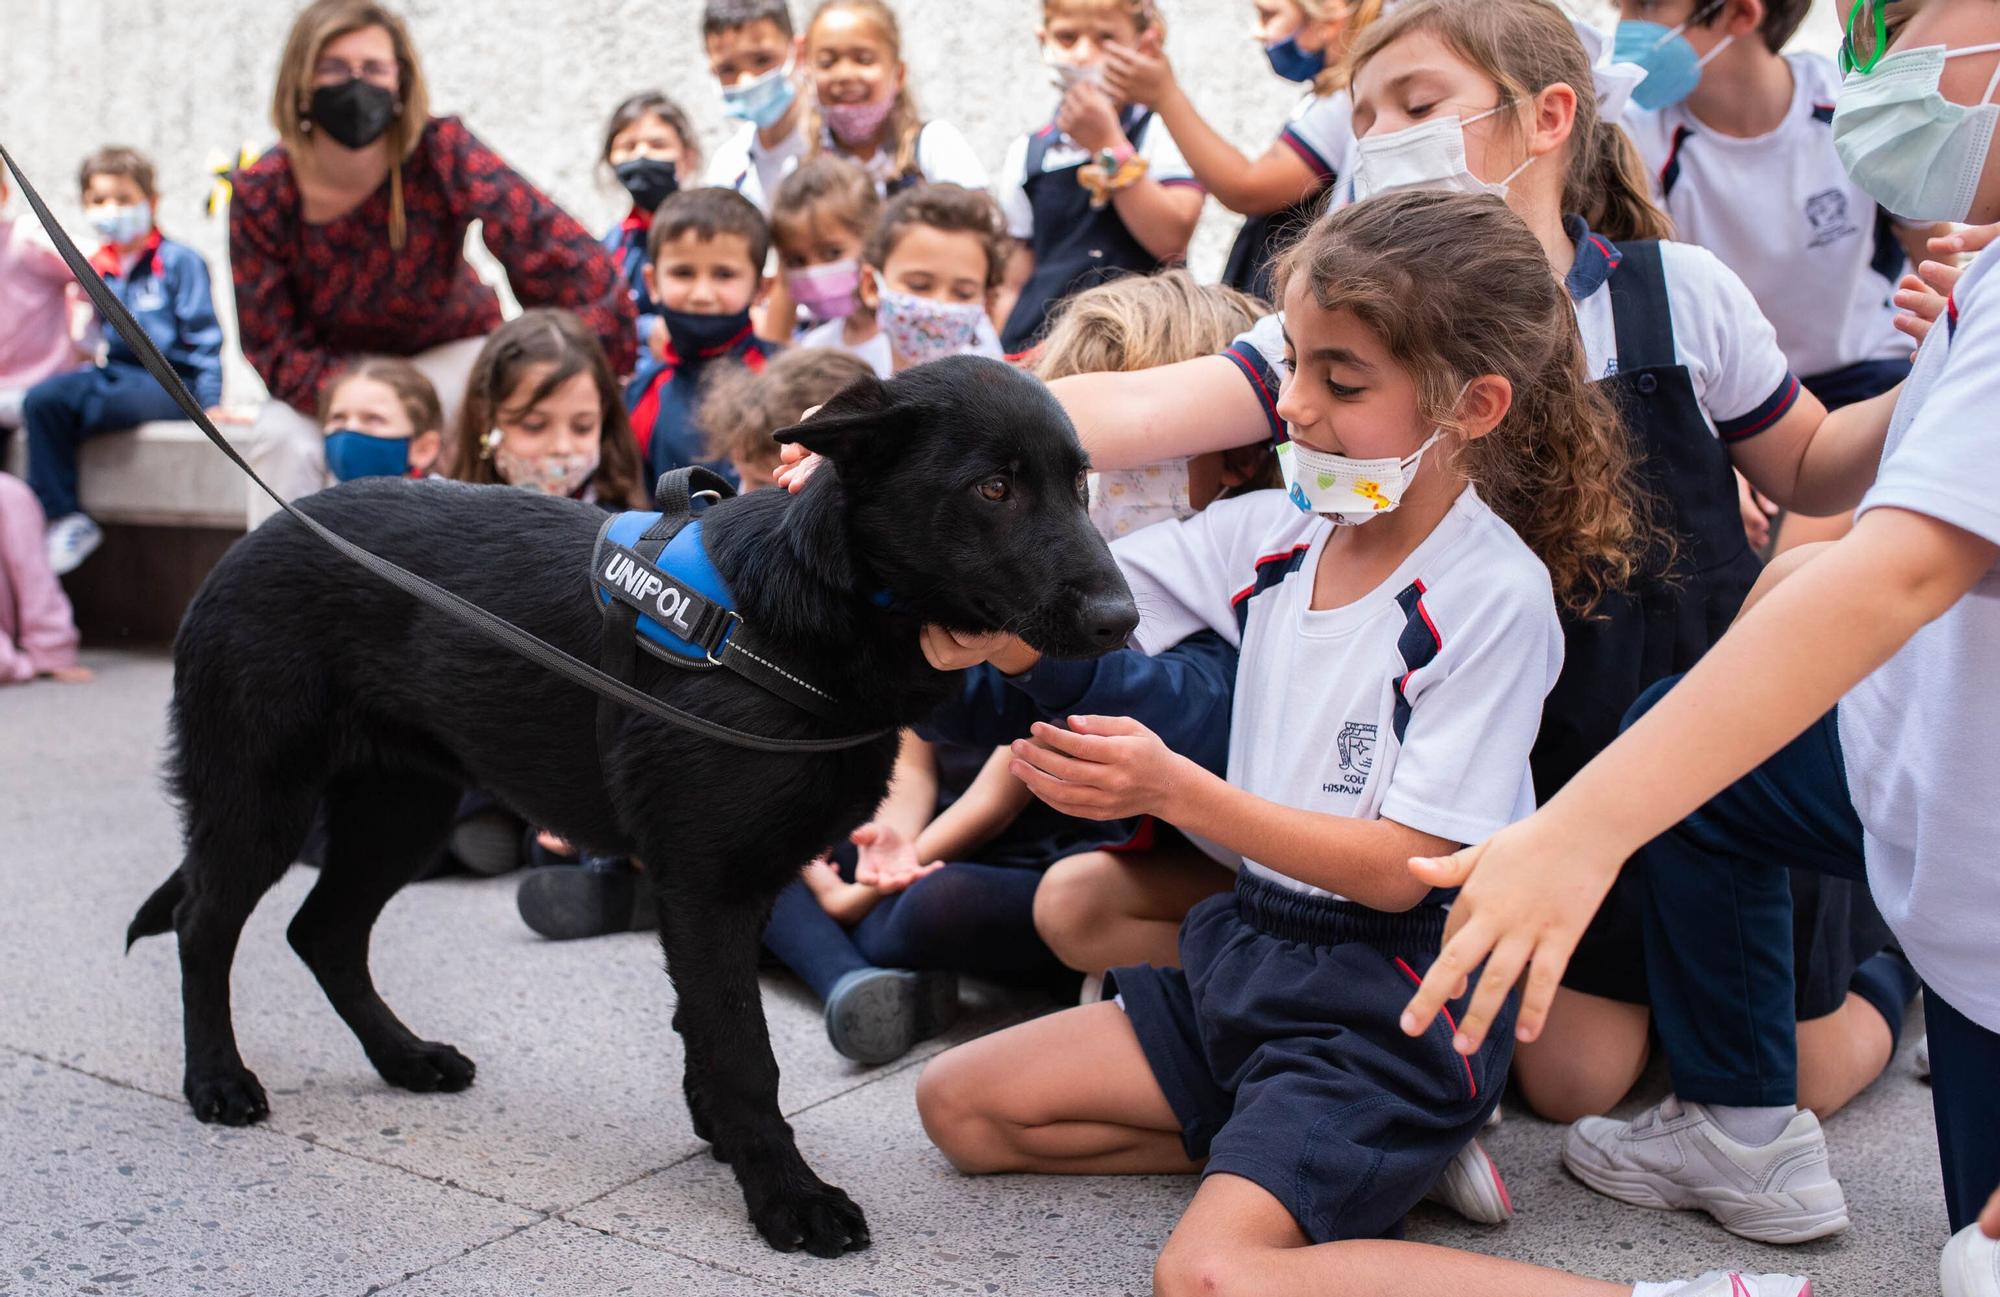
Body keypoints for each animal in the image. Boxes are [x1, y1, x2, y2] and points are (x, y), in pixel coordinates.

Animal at [129, 356, 1144, 1256]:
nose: (1122, 622)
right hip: (262, 798)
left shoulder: (727, 885)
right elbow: (742, 1048)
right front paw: (786, 1195)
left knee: (324, 933)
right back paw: (216, 1077)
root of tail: (251, 538)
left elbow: (707, 1028)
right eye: (994, 489)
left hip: (402, 810)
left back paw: (403, 1057)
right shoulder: (711, 885)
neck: (798, 616)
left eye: (1079, 484)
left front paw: (729, 1143)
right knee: (204, 922)